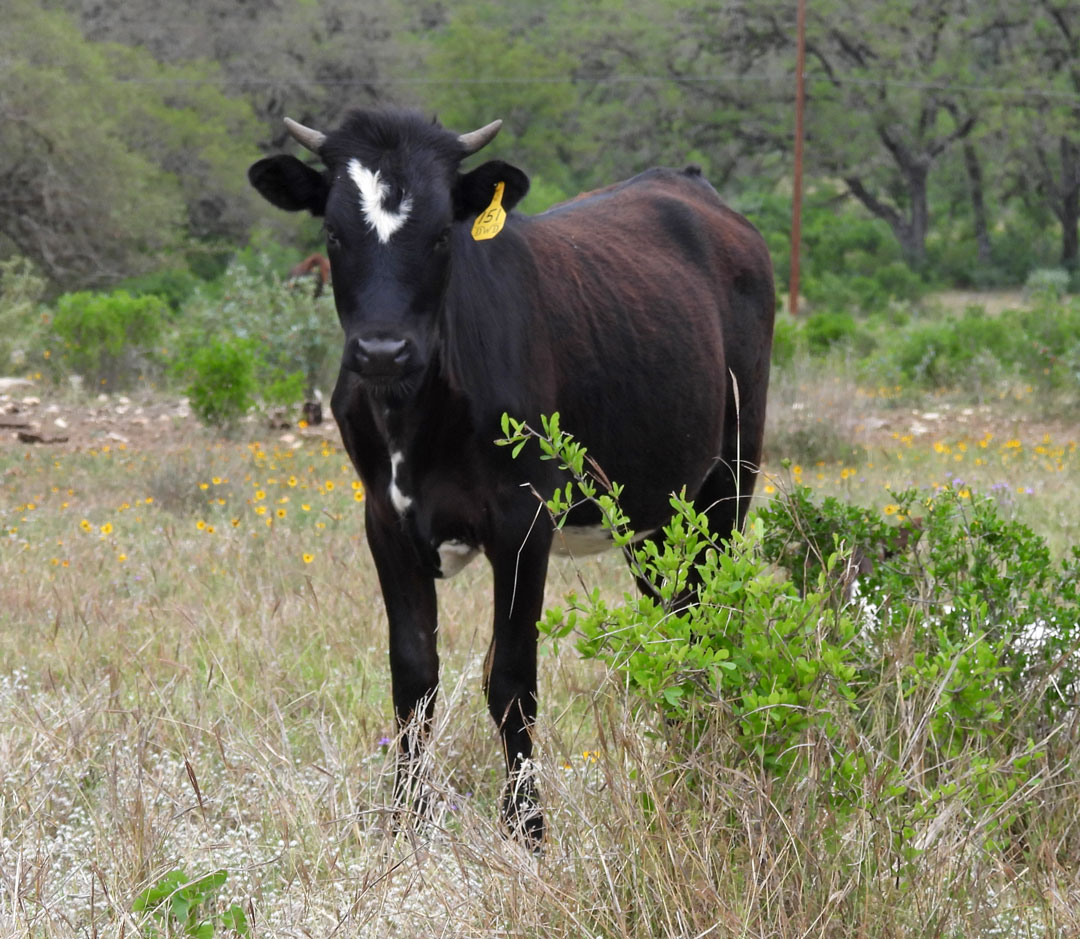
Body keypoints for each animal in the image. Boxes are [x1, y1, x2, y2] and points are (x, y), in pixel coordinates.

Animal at [248, 108, 773, 842]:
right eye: (332, 231)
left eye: (442, 233)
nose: (381, 349)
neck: (417, 414)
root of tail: (689, 184)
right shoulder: (384, 521)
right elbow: (413, 679)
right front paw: (404, 820)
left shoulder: (523, 522)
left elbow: (511, 680)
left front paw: (527, 826)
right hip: (654, 516)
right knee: (672, 618)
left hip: (729, 481)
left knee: (706, 617)